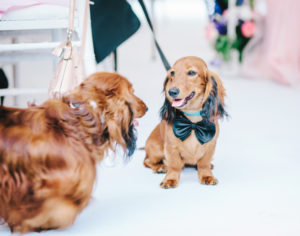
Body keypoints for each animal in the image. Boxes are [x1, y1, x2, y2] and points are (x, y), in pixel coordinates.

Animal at [144, 55, 226, 188]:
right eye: (172, 73)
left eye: (191, 72)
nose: (172, 92)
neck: (192, 123)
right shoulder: (171, 147)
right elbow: (174, 165)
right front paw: (170, 179)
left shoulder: (210, 146)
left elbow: (204, 163)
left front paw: (207, 176)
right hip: (156, 150)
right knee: (147, 161)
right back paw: (159, 167)